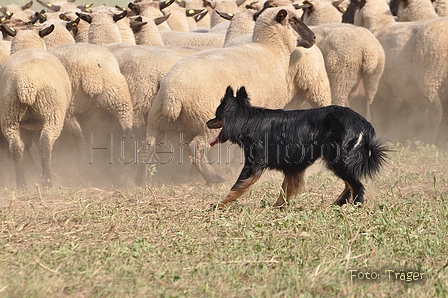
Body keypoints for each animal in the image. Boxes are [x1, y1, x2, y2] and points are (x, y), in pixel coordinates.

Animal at [0, 26, 71, 189]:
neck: (28, 47)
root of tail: (26, 83)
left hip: (9, 114)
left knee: (16, 146)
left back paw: (21, 184)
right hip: (52, 114)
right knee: (45, 142)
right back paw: (47, 181)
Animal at [206, 85, 388, 208]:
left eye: (217, 114)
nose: (207, 122)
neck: (247, 121)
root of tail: (362, 122)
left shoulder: (252, 166)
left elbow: (237, 187)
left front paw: (220, 205)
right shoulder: (292, 168)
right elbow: (285, 189)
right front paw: (278, 207)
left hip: (338, 160)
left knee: (356, 185)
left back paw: (355, 206)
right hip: (339, 161)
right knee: (349, 184)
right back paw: (338, 203)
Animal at [344, 0, 448, 144]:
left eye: (353, 3)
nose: (343, 18)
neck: (380, 26)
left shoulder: (382, 87)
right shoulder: (397, 88)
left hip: (430, 81)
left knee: (437, 113)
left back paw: (426, 140)